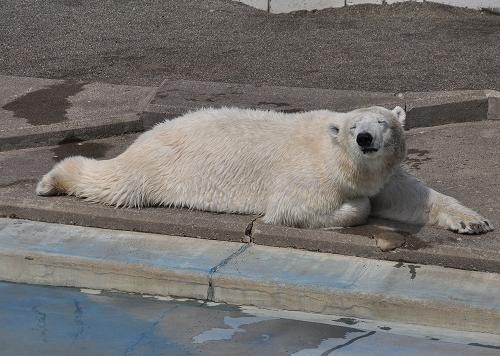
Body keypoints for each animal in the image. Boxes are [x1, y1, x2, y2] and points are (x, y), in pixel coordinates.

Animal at [37, 105, 494, 234]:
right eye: (353, 127)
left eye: (383, 122)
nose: (366, 139)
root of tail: (150, 132)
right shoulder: (310, 176)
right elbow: (296, 207)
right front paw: (357, 206)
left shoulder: (385, 174)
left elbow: (412, 197)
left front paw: (474, 222)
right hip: (157, 165)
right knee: (115, 183)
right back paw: (49, 181)